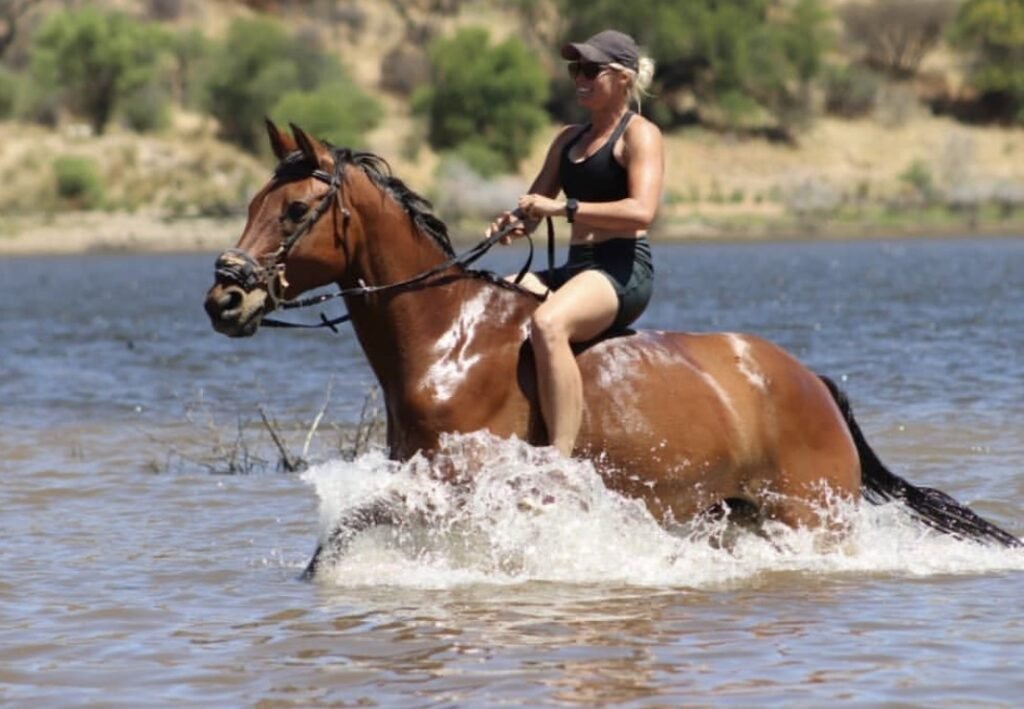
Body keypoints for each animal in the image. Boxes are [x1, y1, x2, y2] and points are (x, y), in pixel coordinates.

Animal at [204, 122, 1020, 578]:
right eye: (251, 204)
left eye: (297, 210)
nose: (224, 298)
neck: (441, 336)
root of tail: (809, 379)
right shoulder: (429, 484)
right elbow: (342, 536)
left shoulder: (463, 485)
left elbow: (350, 528)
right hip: (741, 510)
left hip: (814, 516)